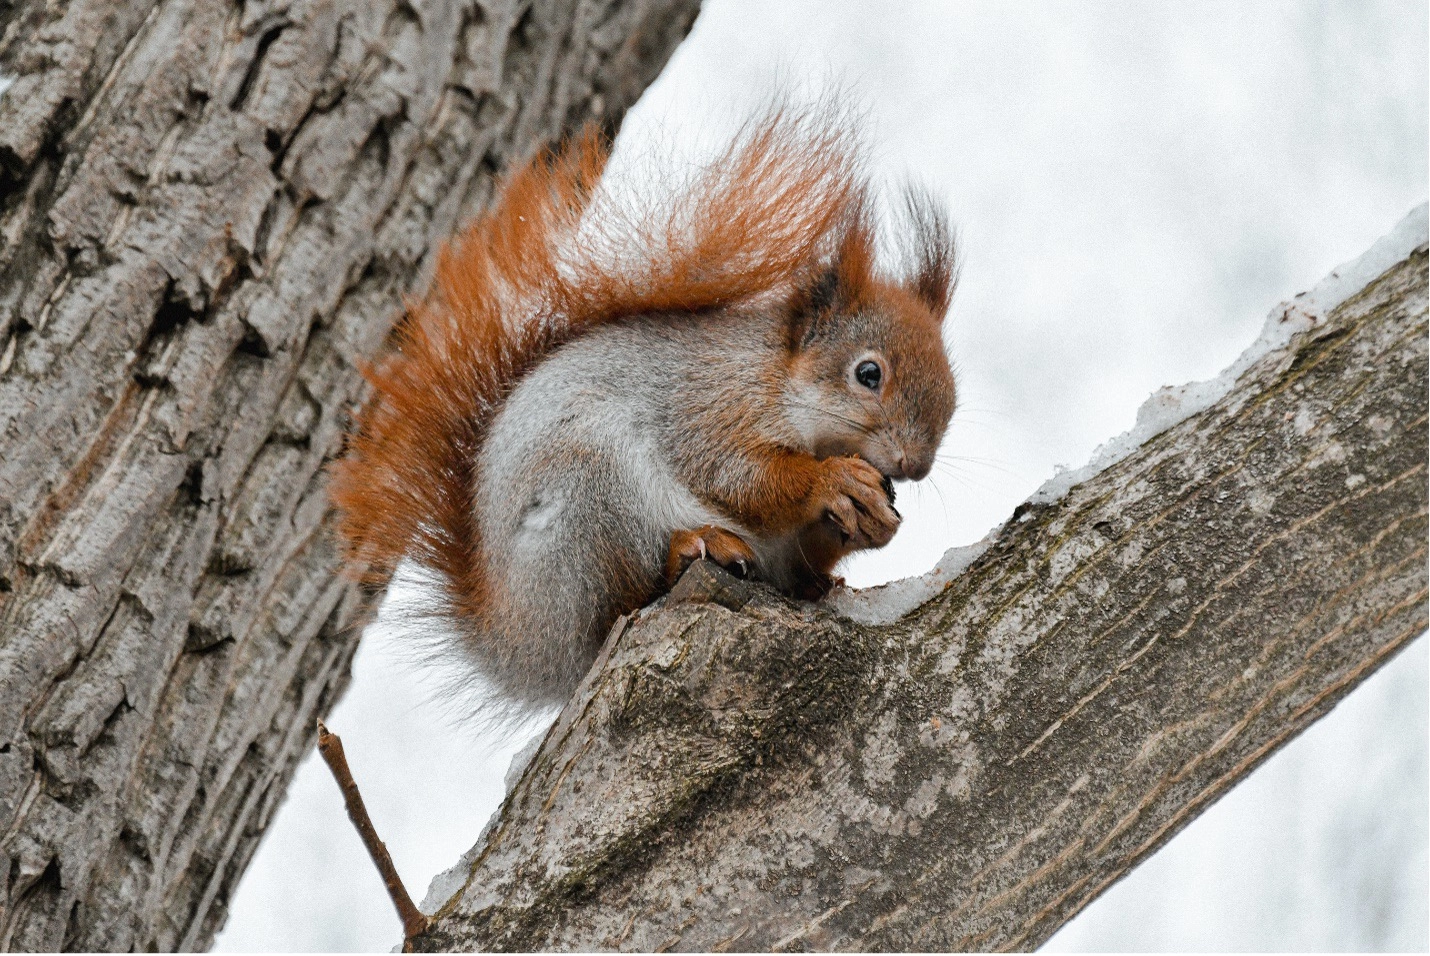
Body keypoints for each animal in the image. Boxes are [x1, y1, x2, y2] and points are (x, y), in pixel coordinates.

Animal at [327, 110, 955, 708]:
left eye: (951, 386)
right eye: (868, 373)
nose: (916, 464)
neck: (780, 378)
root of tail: (519, 646)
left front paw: (873, 519)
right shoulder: (709, 405)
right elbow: (737, 475)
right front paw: (830, 482)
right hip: (590, 498)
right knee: (620, 603)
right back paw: (693, 547)